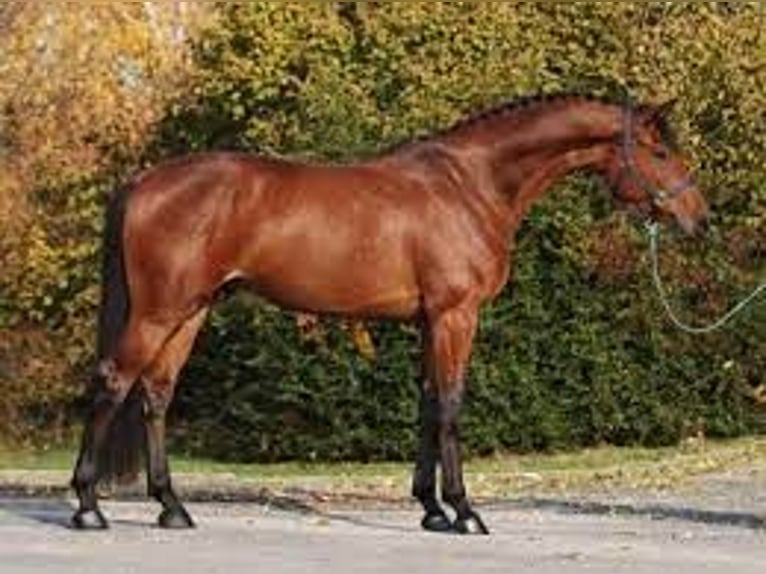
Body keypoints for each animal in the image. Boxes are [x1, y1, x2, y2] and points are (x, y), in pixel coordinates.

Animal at [70, 94, 709, 535]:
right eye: (658, 151)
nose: (699, 219)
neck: (472, 185)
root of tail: (142, 181)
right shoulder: (455, 316)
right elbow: (450, 405)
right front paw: (465, 512)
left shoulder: (429, 322)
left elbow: (427, 405)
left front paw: (431, 509)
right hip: (159, 311)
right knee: (113, 382)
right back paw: (88, 507)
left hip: (190, 311)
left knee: (156, 394)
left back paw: (172, 508)